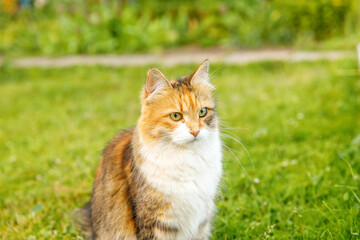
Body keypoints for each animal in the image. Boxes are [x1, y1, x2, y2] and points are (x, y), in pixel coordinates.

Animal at [77, 60, 221, 240]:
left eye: (202, 112)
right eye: (176, 116)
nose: (195, 132)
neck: (187, 158)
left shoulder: (201, 220)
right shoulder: (154, 221)